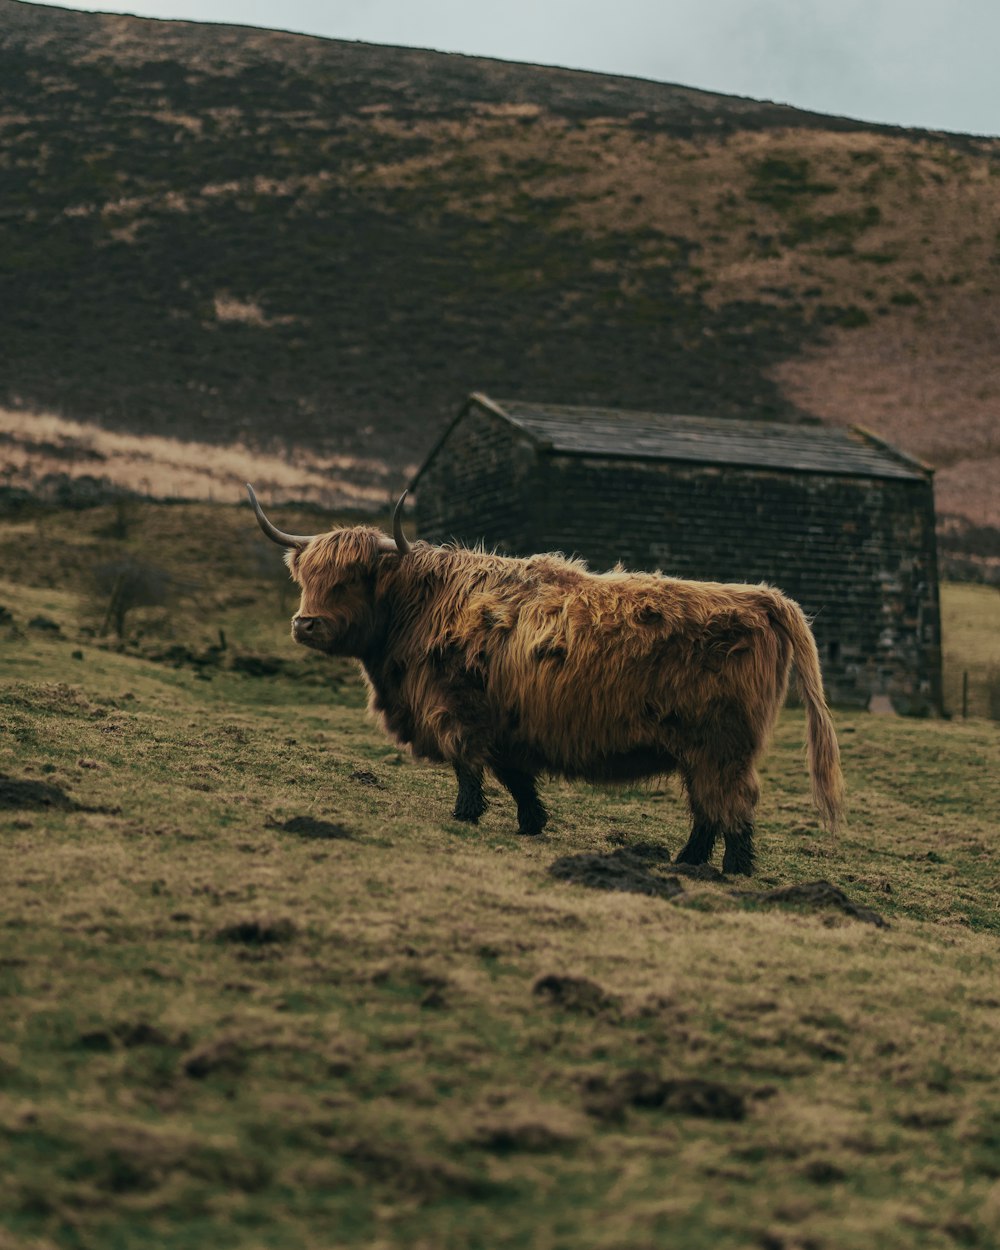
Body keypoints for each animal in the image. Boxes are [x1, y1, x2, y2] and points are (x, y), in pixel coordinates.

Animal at [246, 482, 840, 875]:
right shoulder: (507, 721)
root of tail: (762, 597)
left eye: (350, 579)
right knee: (708, 807)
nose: (305, 624)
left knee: (731, 804)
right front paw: (532, 821)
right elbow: (514, 774)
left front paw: (465, 816)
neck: (419, 605)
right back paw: (687, 861)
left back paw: (732, 869)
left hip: (720, 744)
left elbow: (469, 765)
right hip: (703, 749)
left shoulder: (455, 707)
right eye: (307, 577)